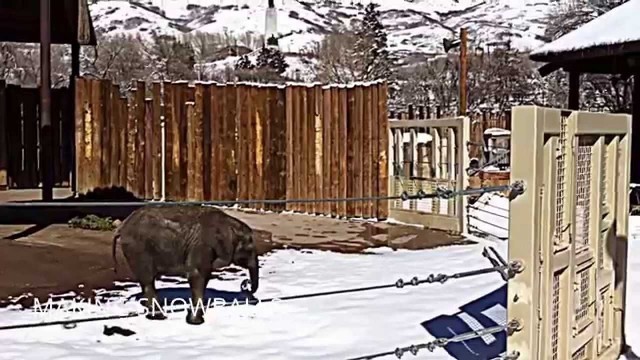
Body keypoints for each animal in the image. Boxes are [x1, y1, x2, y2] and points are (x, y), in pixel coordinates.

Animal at [113, 204, 260, 324]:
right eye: (249, 249)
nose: (245, 284)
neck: (229, 225)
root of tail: (122, 226)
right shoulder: (203, 246)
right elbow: (197, 275)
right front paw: (196, 322)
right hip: (138, 250)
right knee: (148, 280)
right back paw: (159, 317)